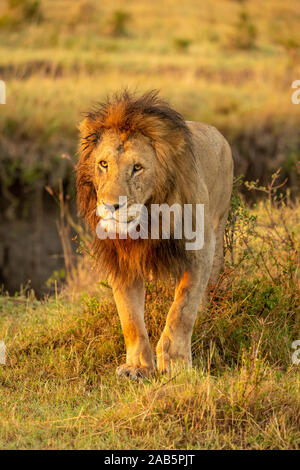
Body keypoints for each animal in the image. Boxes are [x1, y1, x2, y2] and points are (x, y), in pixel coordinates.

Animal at [76, 90, 233, 380]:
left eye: (137, 168)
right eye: (103, 164)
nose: (111, 206)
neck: (148, 222)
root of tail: (216, 131)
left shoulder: (200, 250)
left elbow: (181, 309)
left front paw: (175, 362)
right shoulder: (121, 260)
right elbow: (129, 317)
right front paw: (138, 367)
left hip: (219, 229)